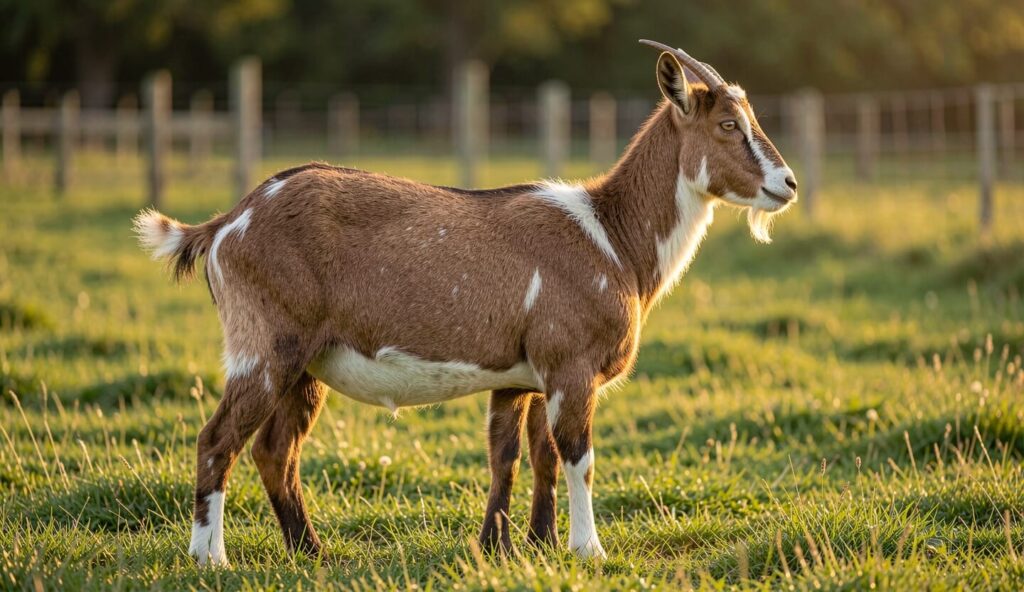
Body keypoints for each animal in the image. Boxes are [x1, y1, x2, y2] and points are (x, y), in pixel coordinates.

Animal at [133, 40, 797, 565]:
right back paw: (211, 559)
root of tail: (226, 223)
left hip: (306, 365)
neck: (613, 238)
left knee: (275, 451)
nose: (786, 184)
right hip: (266, 346)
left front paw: (515, 546)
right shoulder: (571, 364)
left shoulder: (523, 374)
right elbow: (577, 455)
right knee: (217, 439)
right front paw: (588, 549)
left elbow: (521, 456)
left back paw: (311, 552)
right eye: (728, 125)